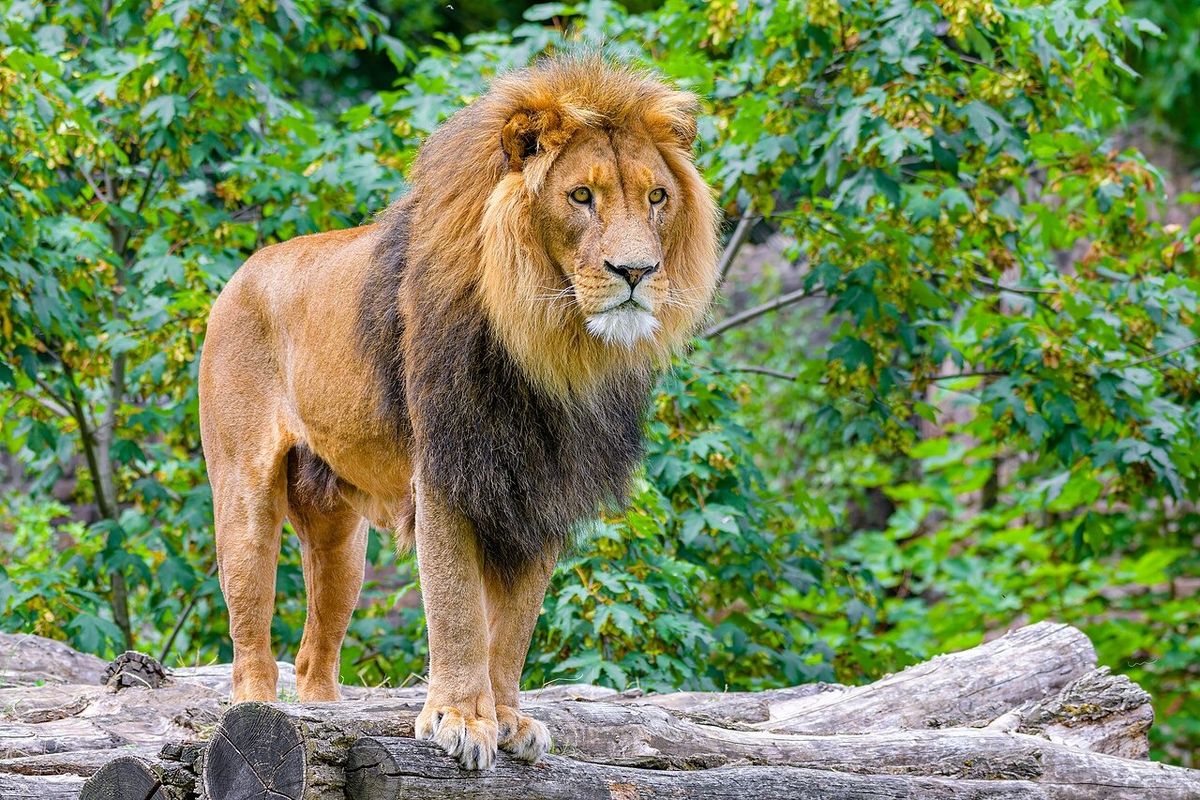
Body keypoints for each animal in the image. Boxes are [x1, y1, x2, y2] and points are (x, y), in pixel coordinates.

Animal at [197, 55, 719, 770]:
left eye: (657, 198)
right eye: (581, 197)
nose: (636, 272)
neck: (550, 347)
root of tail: (242, 273)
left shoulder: (541, 489)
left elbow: (515, 626)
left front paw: (508, 720)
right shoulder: (447, 470)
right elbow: (459, 610)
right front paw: (458, 721)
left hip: (341, 542)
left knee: (313, 651)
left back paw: (328, 717)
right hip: (244, 496)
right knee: (250, 634)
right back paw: (255, 710)